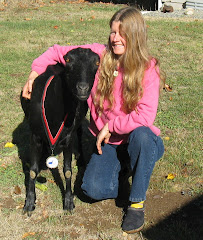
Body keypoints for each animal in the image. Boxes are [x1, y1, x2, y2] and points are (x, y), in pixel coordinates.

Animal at [21, 47, 99, 216]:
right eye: (68, 60)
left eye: (97, 62)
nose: (83, 88)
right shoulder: (34, 136)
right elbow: (32, 171)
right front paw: (29, 203)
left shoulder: (67, 138)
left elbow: (68, 171)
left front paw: (69, 202)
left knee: (79, 132)